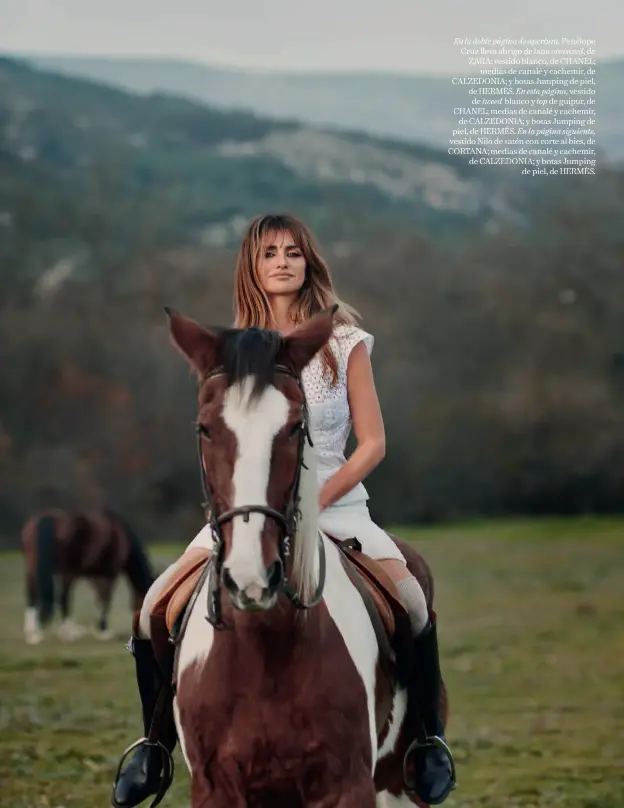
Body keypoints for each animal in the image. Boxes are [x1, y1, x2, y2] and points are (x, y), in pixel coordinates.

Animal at [22, 504, 155, 644]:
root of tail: (49, 519)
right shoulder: (108, 575)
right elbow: (105, 600)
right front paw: (103, 631)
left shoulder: (95, 577)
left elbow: (100, 600)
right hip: (67, 573)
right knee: (64, 597)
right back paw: (68, 633)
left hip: (33, 570)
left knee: (33, 595)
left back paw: (33, 634)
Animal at [166, 306, 448, 808]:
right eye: (205, 428)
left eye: (297, 427)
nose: (251, 577)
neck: (265, 648)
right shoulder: (216, 789)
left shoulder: (347, 786)